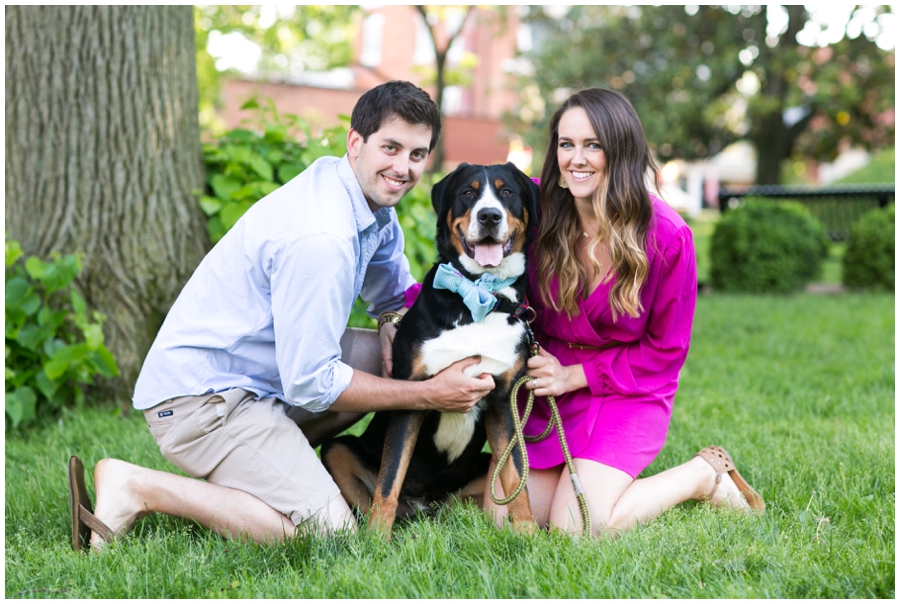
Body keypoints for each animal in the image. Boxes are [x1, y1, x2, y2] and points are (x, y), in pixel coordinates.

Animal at [320, 162, 536, 536]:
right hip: (339, 448)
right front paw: (376, 541)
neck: (476, 296)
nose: (490, 216)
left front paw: (530, 535)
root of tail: (421, 509)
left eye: (507, 191)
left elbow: (516, 475)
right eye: (468, 192)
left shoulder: (503, 402)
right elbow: (389, 480)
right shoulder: (412, 395)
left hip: (478, 473)